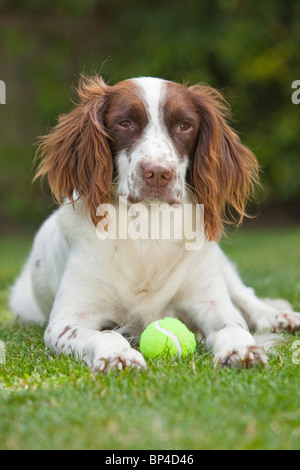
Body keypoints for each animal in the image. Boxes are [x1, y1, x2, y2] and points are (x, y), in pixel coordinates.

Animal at [8, 76, 300, 370]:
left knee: (247, 296)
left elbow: (234, 327)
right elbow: (106, 335)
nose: (158, 173)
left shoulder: (211, 302)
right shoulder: (66, 321)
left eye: (184, 125)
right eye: (125, 123)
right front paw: (118, 355)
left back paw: (281, 317)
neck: (149, 226)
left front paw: (242, 350)